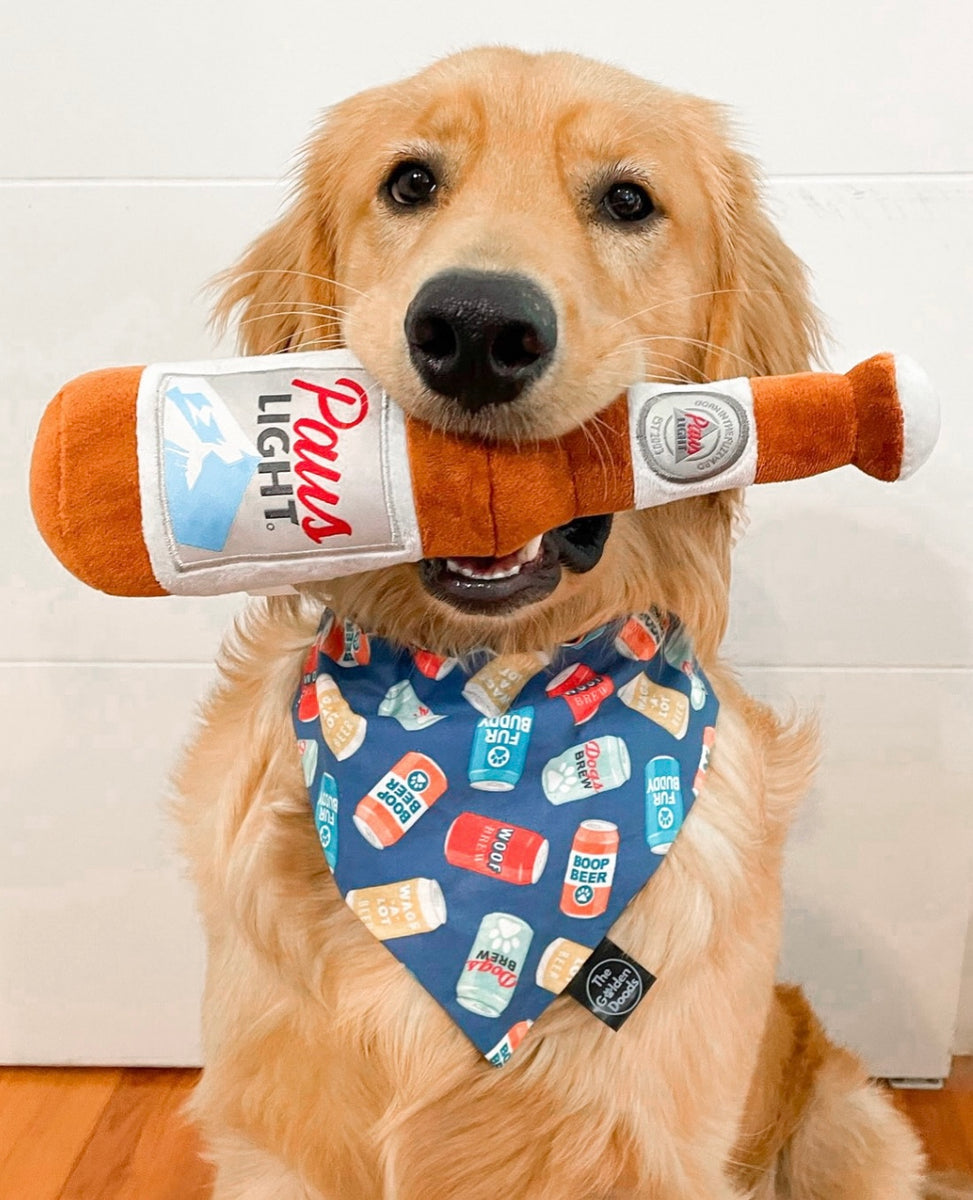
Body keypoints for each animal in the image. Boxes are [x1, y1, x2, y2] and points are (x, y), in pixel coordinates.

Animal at [172, 46, 959, 1200]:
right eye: (410, 183)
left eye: (628, 201)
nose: (473, 330)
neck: (487, 704)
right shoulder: (274, 1149)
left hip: (856, 1133)